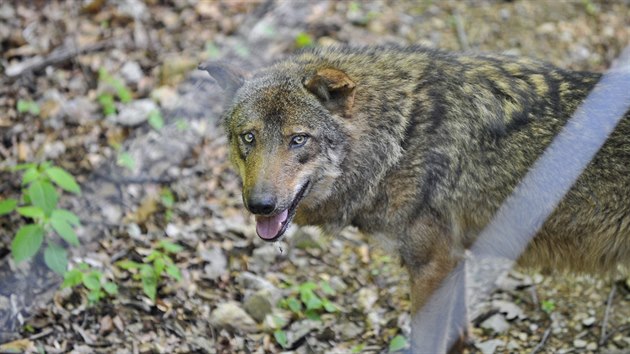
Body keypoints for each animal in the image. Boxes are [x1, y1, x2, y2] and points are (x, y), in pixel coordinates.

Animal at [201, 46, 630, 352]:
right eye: (249, 137)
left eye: (298, 139)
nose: (260, 205)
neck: (400, 135)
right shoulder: (452, 259)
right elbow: (457, 336)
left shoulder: (431, 265)